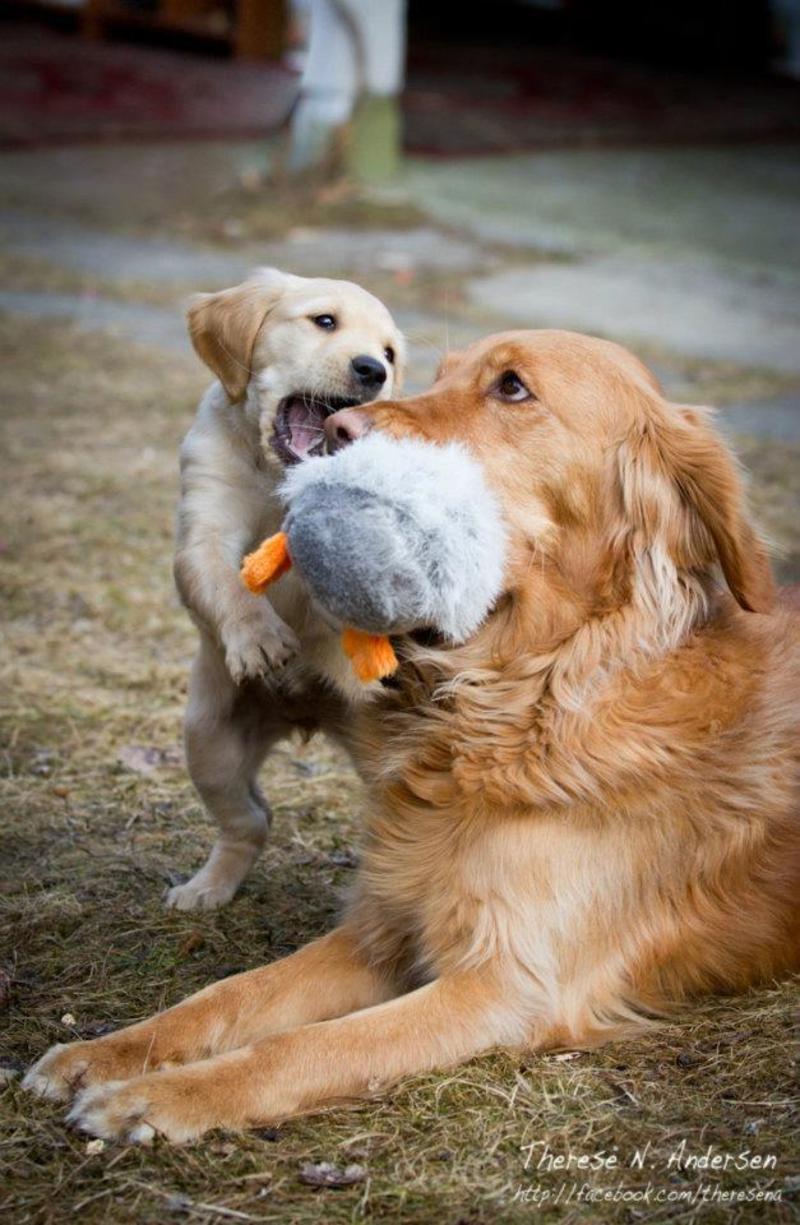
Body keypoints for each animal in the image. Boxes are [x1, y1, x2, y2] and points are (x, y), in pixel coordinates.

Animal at [169, 268, 406, 911]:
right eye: (324, 321)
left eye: (390, 354)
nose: (372, 371)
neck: (278, 477)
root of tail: (304, 717)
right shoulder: (205, 524)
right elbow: (221, 580)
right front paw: (257, 638)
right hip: (209, 739)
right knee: (250, 821)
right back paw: (207, 889)